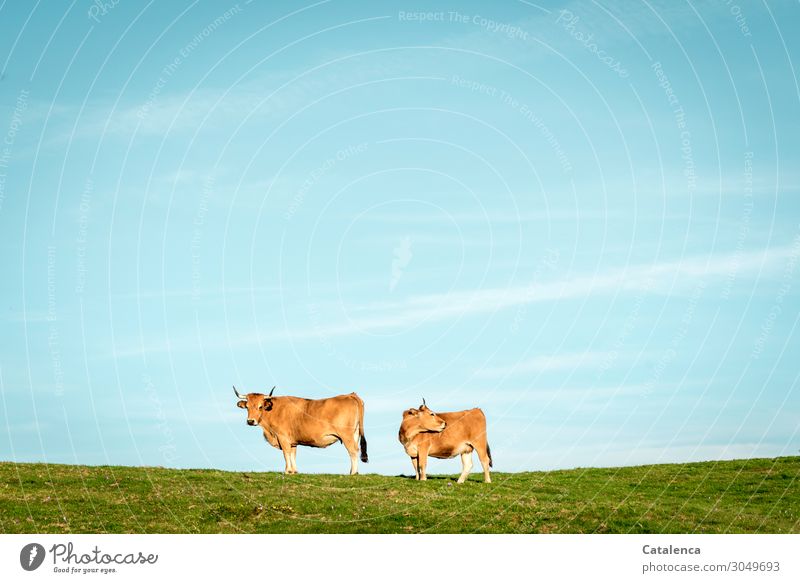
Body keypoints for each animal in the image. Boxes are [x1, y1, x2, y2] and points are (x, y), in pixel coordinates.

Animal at [233, 386, 368, 476]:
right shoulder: (292, 441)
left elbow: (286, 453)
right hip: (355, 434)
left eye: (260, 406)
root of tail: (351, 395)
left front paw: (287, 471)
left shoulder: (282, 437)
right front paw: (294, 471)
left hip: (347, 435)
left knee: (353, 451)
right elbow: (293, 454)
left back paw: (353, 473)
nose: (251, 421)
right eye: (247, 407)